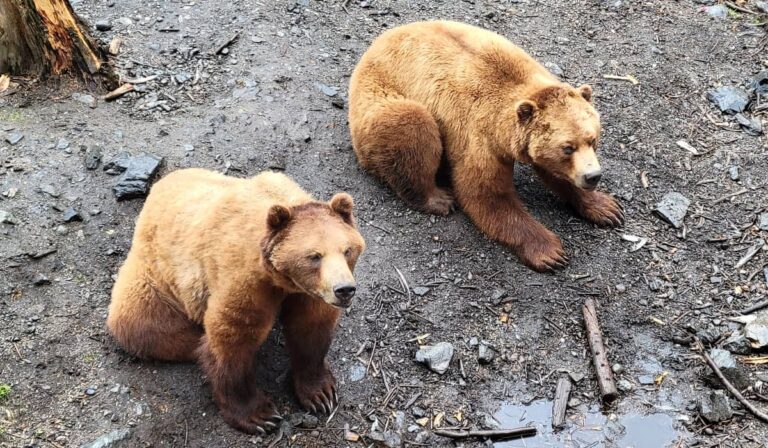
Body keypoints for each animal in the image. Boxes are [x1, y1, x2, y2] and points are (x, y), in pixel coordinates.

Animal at [106, 168, 366, 434]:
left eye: (347, 250)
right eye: (314, 256)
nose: (344, 289)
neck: (283, 280)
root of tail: (157, 188)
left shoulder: (308, 293)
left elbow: (310, 329)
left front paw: (321, 394)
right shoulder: (245, 278)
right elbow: (232, 338)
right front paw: (259, 415)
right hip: (155, 277)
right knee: (142, 324)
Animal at [348, 20, 624, 272]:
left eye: (592, 139)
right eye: (567, 147)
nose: (592, 176)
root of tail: (372, 48)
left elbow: (553, 173)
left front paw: (607, 208)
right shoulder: (479, 135)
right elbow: (486, 193)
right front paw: (551, 252)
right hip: (378, 98)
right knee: (411, 124)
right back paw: (437, 198)